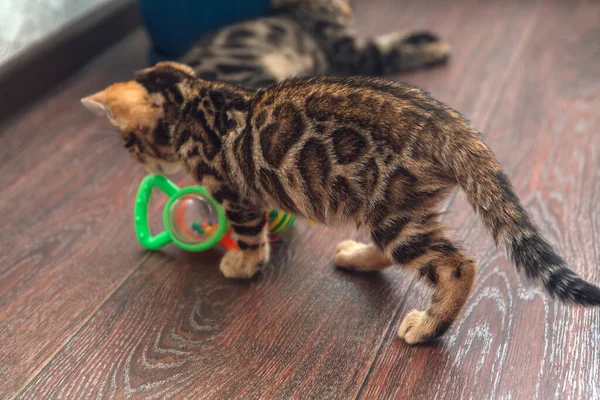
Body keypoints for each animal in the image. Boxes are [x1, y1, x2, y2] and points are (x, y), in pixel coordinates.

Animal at [81, 62, 600, 344]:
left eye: (129, 144)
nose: (141, 164)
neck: (192, 99)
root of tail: (448, 122)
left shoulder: (234, 192)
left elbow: (247, 233)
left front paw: (244, 263)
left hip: (392, 211)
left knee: (457, 265)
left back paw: (428, 327)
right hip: (388, 210)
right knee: (395, 252)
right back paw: (357, 256)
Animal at [179, 0, 450, 87]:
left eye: (348, 0)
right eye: (327, 2)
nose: (346, 12)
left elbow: (390, 37)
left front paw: (425, 35)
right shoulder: (355, 54)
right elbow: (395, 51)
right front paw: (436, 50)